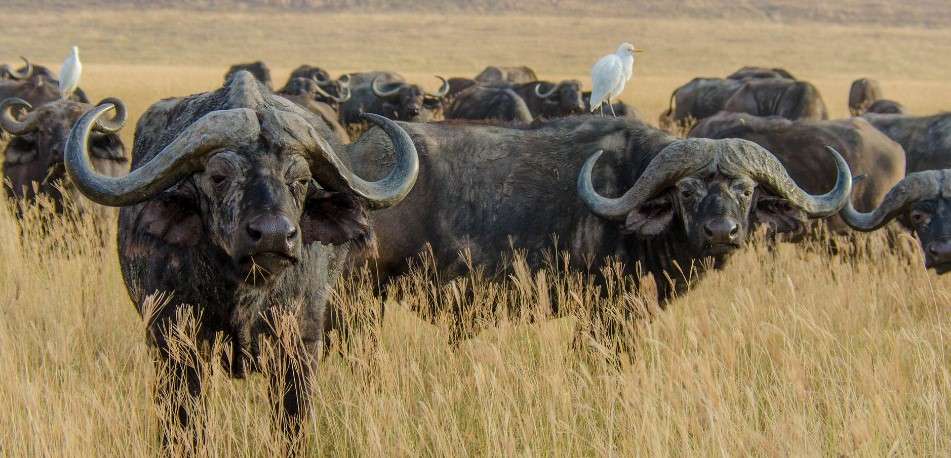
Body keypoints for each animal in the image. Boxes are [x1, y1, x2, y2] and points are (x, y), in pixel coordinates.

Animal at [62, 71, 420, 445]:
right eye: (219, 177)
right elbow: (184, 423)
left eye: (301, 179)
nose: (274, 234)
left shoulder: (300, 346)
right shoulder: (173, 344)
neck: (245, 294)